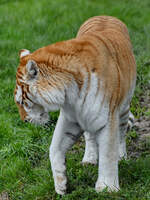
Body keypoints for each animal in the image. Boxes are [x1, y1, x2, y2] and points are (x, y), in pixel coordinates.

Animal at [14, 16, 136, 195]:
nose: (24, 121)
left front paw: (107, 188)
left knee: (121, 132)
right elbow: (54, 148)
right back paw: (89, 159)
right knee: (90, 136)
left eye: (22, 102)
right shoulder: (70, 117)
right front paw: (61, 184)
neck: (69, 93)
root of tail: (104, 15)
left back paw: (121, 156)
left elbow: (108, 153)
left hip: (123, 107)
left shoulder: (108, 118)